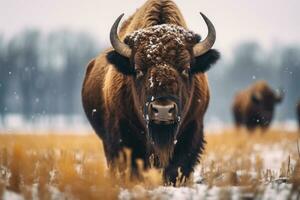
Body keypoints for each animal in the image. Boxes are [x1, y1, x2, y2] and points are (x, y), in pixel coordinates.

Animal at [81, 0, 219, 184]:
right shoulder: (123, 135)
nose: (163, 110)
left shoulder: (192, 129)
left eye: (186, 69)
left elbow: (176, 168)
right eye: (139, 70)